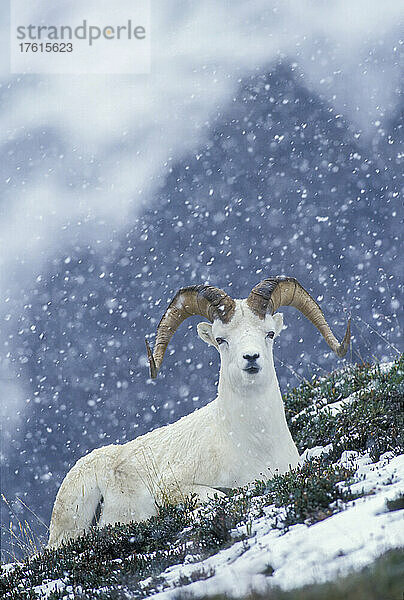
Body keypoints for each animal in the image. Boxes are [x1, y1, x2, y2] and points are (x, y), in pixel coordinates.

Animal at [48, 276, 350, 548]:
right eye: (221, 339)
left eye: (269, 333)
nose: (251, 358)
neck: (254, 444)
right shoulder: (175, 488)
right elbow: (219, 496)